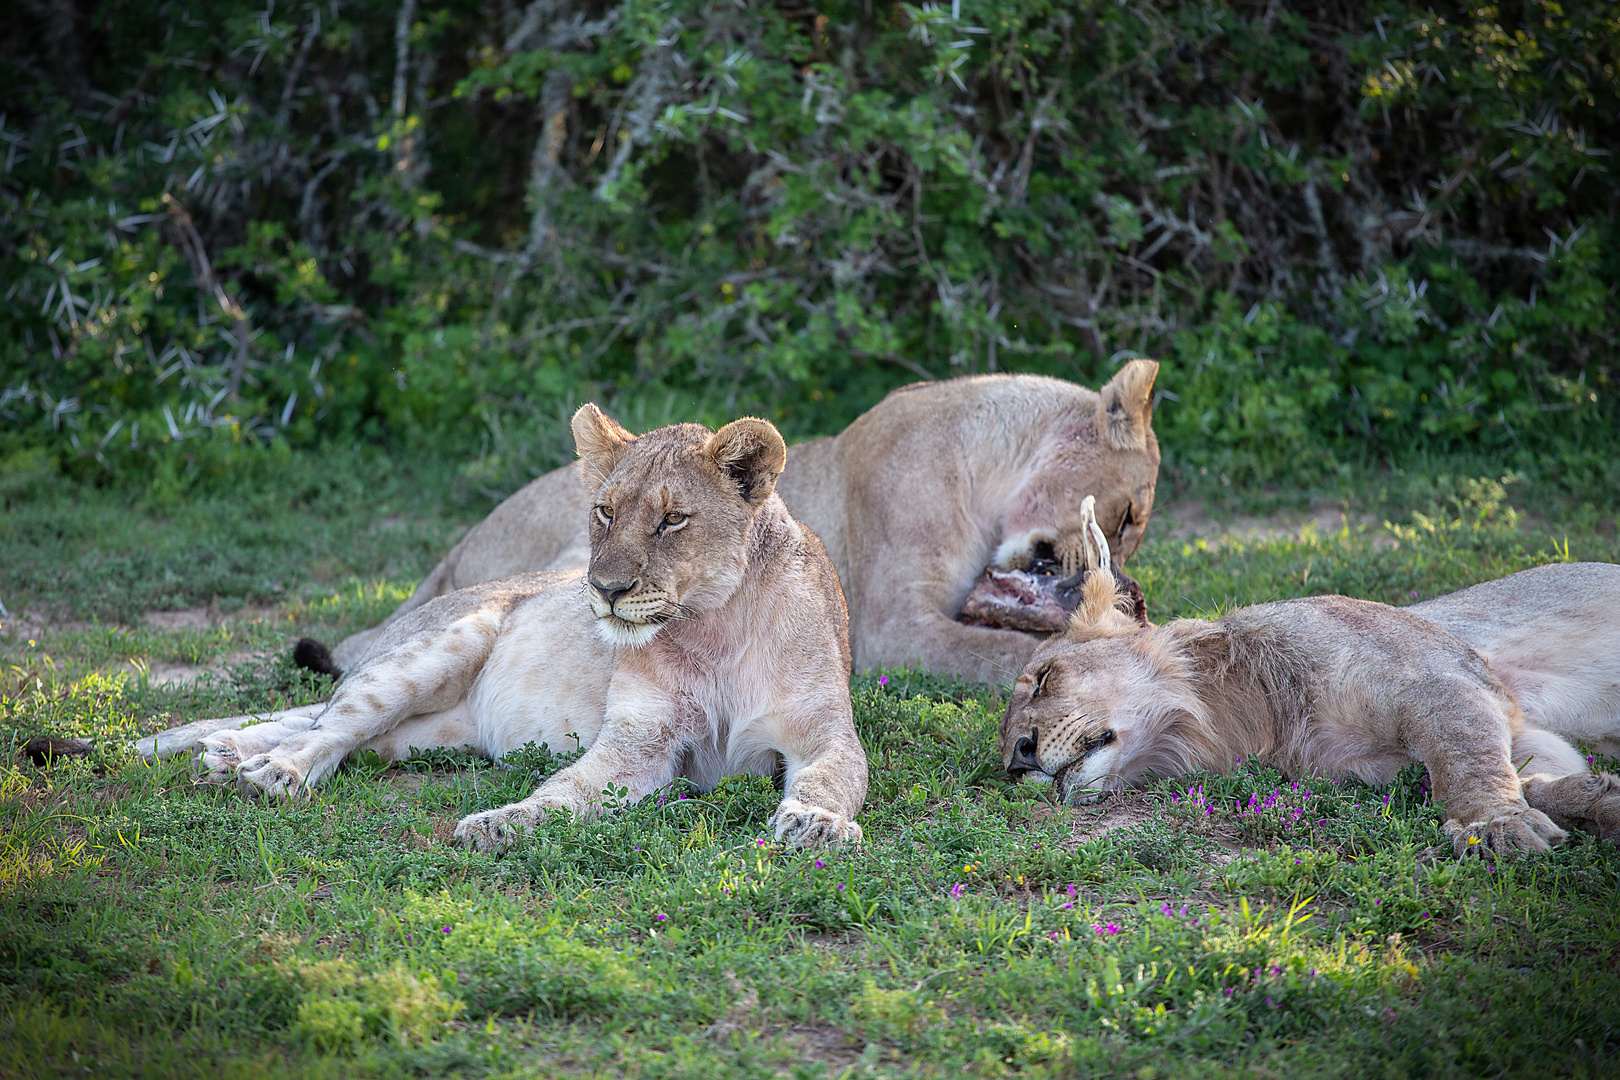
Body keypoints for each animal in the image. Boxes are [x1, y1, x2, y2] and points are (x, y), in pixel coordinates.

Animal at [140, 404, 874, 854]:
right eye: (605, 512)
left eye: (672, 520)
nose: (605, 590)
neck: (712, 628)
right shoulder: (638, 743)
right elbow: (564, 789)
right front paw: (499, 825)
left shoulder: (823, 731)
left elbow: (831, 777)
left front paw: (814, 824)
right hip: (437, 647)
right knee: (329, 726)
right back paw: (265, 770)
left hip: (428, 737)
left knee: (346, 737)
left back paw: (225, 756)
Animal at [325, 362, 1166, 683]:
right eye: (1126, 515)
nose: (1129, 584)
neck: (991, 469)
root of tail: (463, 540)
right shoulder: (894, 627)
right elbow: (1006, 650)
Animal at [997, 557, 1620, 854]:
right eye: (1006, 754)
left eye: (1043, 680)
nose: (1018, 761)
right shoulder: (1516, 730)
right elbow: (1532, 776)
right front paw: (1599, 798)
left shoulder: (1441, 680)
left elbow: (1467, 764)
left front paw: (1496, 826)